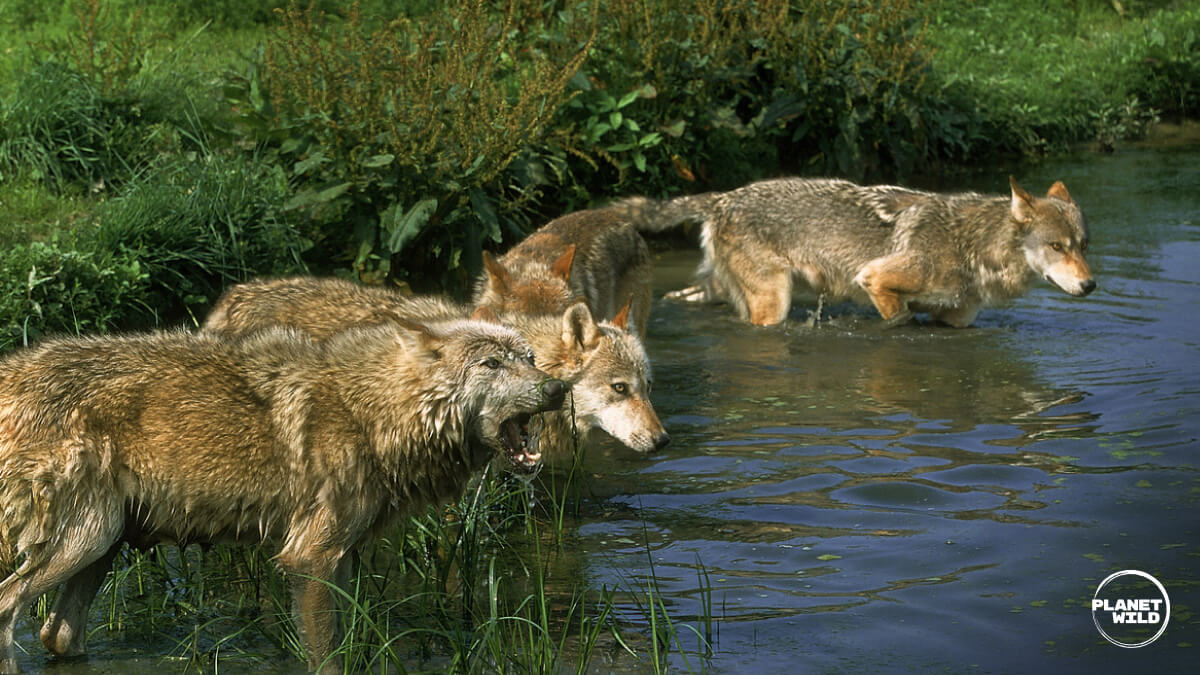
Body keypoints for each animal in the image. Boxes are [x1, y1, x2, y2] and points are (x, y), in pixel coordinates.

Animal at [0, 320, 566, 674]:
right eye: (491, 364)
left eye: (530, 359)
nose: (558, 388)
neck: (370, 412)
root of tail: (13, 375)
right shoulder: (310, 557)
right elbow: (328, 659)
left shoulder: (340, 556)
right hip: (83, 541)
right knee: (10, 605)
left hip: (105, 542)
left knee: (57, 635)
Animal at [647, 176, 1095, 326]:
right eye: (1056, 246)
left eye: (1083, 246)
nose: (1091, 285)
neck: (972, 245)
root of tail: (722, 198)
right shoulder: (874, 279)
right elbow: (899, 320)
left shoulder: (956, 321)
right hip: (774, 303)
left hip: (719, 291)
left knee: (681, 296)